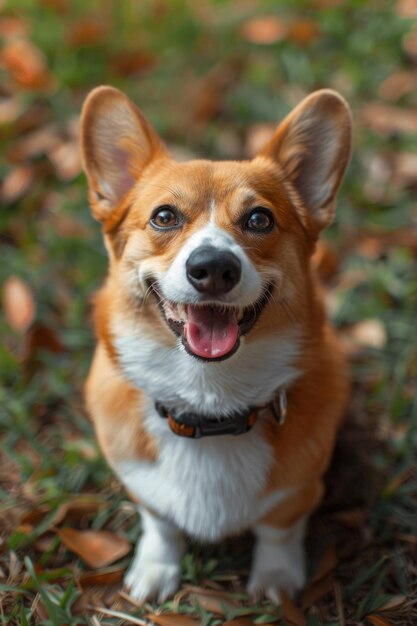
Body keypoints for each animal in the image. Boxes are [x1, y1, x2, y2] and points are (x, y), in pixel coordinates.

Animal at [80, 85, 352, 604]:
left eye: (260, 219)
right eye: (164, 217)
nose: (212, 268)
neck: (209, 403)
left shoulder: (298, 492)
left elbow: (277, 530)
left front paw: (276, 580)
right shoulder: (143, 487)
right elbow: (161, 522)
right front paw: (155, 569)